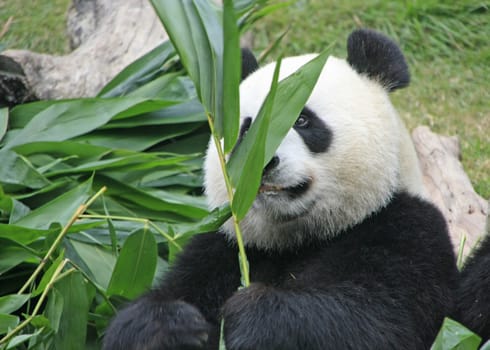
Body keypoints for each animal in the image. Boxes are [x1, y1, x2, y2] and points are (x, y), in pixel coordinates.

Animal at [103, 29, 460, 350]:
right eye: (247, 129)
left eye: (302, 120)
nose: (263, 162)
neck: (300, 238)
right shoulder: (222, 247)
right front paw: (170, 325)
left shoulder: (405, 230)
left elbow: (376, 321)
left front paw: (251, 317)